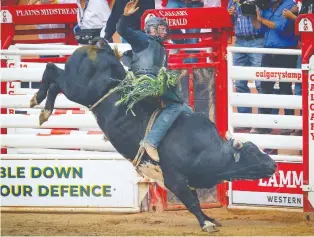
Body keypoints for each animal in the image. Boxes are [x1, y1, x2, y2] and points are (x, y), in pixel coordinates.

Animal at [28, 44, 274, 231]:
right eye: (252, 153)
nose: (273, 164)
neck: (206, 150)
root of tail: (100, 48)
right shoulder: (174, 179)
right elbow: (191, 202)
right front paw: (206, 224)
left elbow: (194, 200)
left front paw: (210, 219)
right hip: (77, 88)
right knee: (52, 70)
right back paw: (37, 101)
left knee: (54, 81)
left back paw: (44, 110)